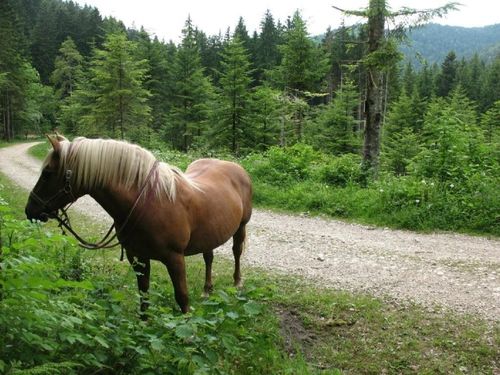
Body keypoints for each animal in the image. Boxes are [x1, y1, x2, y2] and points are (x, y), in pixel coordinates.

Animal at [24, 135, 252, 314]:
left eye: (47, 173)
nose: (30, 210)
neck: (148, 203)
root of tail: (236, 168)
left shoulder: (175, 258)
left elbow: (182, 297)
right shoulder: (138, 258)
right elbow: (144, 296)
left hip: (241, 227)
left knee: (236, 251)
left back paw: (237, 283)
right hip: (209, 235)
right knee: (208, 257)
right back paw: (207, 290)